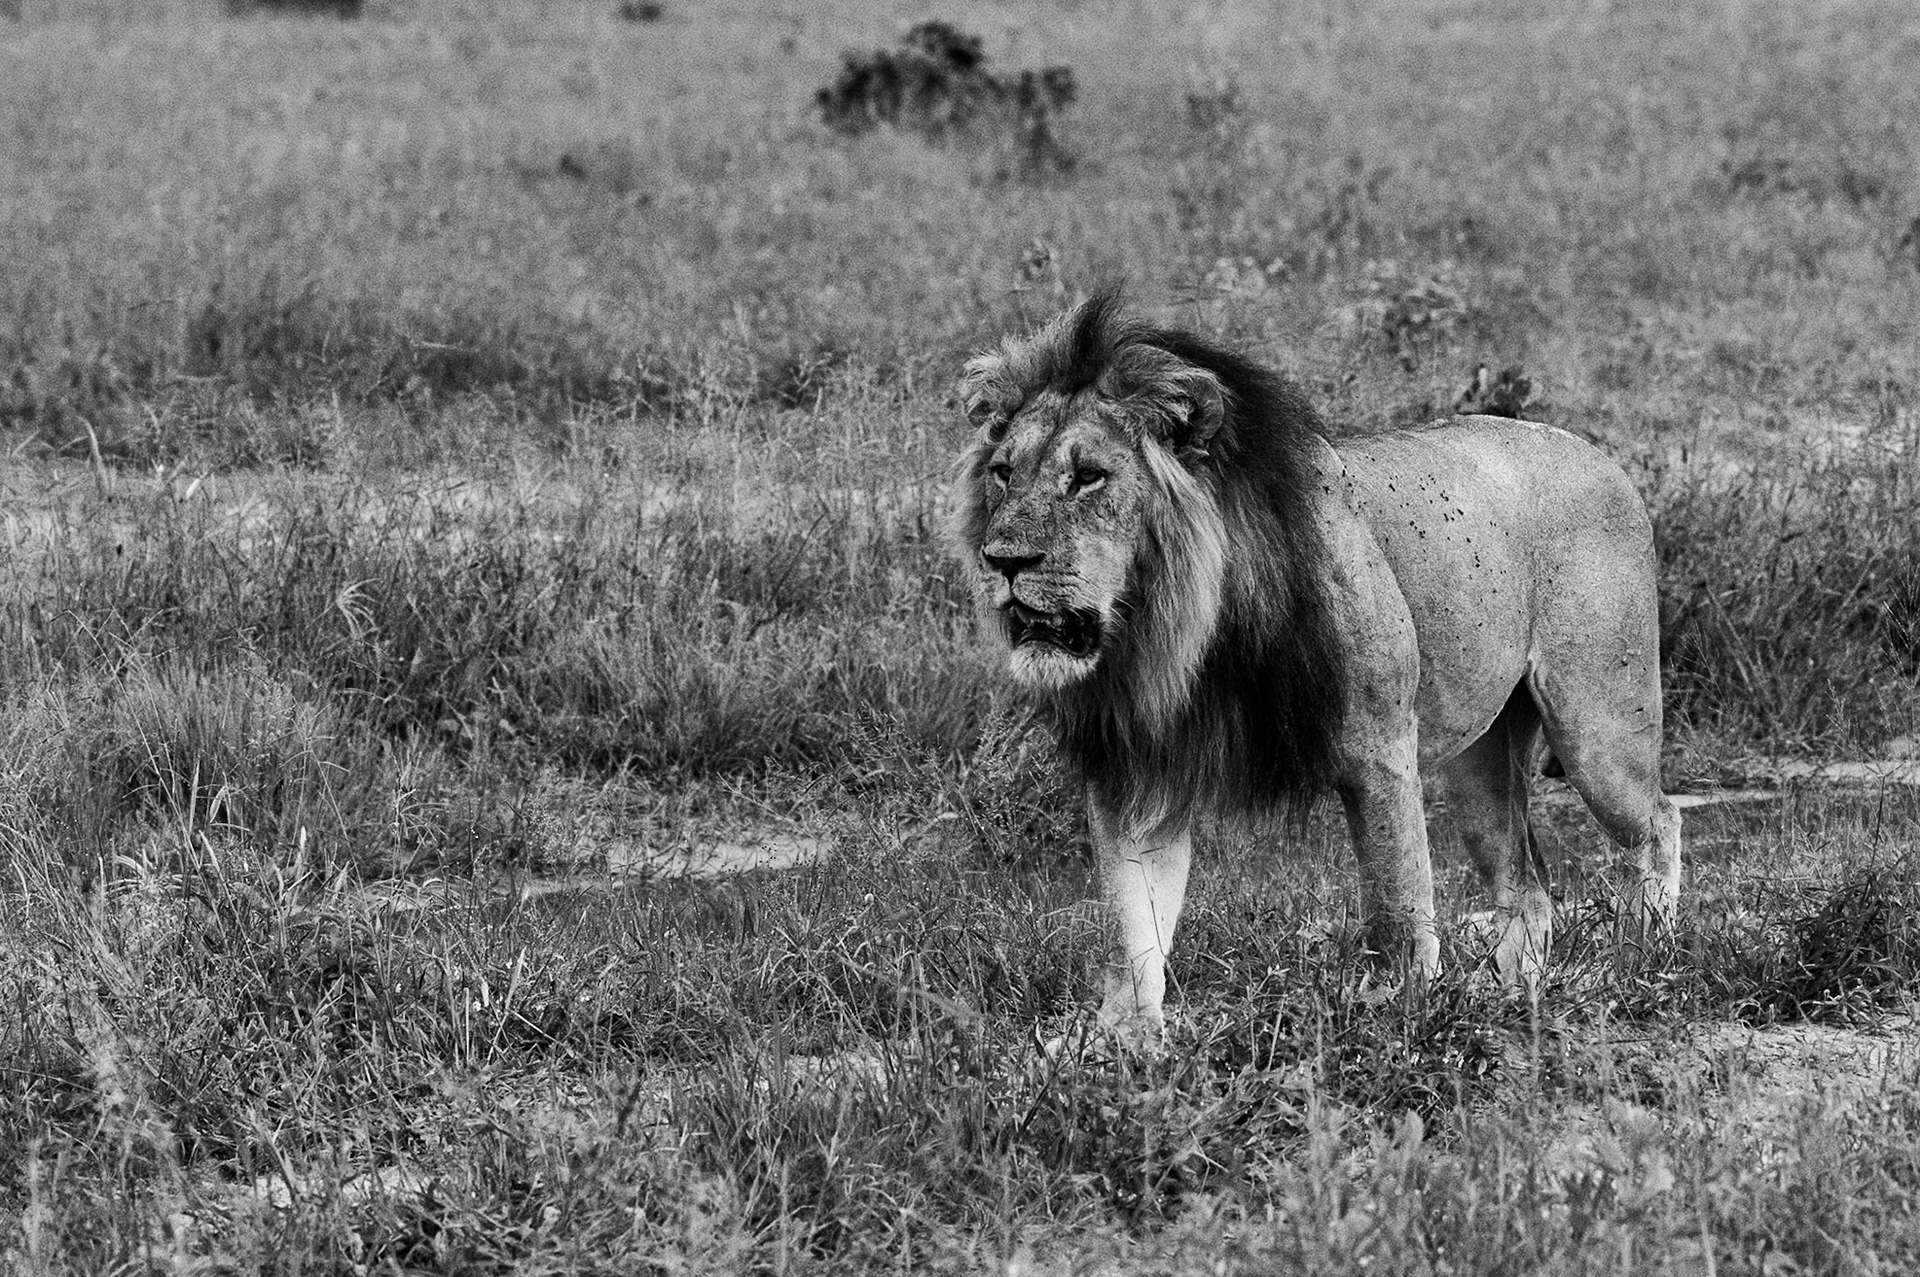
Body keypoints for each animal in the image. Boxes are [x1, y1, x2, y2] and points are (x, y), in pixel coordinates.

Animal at [952, 292, 1680, 1049]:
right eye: (1004, 472)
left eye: (1089, 475)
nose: (1002, 560)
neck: (1179, 632)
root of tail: (1590, 449)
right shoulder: (1136, 772)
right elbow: (1134, 922)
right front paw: (1120, 1038)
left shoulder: (1377, 748)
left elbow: (1395, 896)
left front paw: (1399, 1009)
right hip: (1480, 765)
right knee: (1525, 885)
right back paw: (1517, 999)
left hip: (1597, 728)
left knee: (1656, 823)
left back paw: (1640, 959)